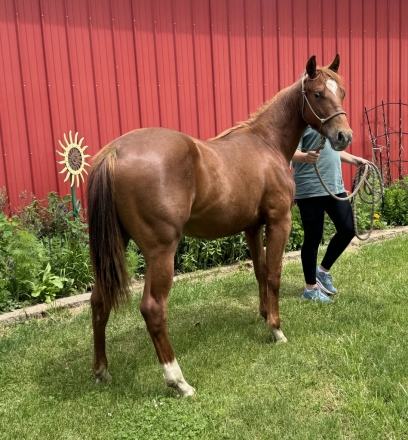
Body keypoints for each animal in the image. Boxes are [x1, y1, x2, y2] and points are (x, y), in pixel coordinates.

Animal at [87, 54, 352, 396]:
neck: (266, 143)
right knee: (153, 309)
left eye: (341, 92)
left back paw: (101, 370)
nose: (344, 136)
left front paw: (264, 316)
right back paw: (178, 381)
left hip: (115, 245)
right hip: (161, 252)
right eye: (318, 93)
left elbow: (260, 271)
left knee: (99, 301)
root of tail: (114, 152)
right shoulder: (279, 221)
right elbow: (274, 274)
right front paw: (277, 329)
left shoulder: (252, 227)